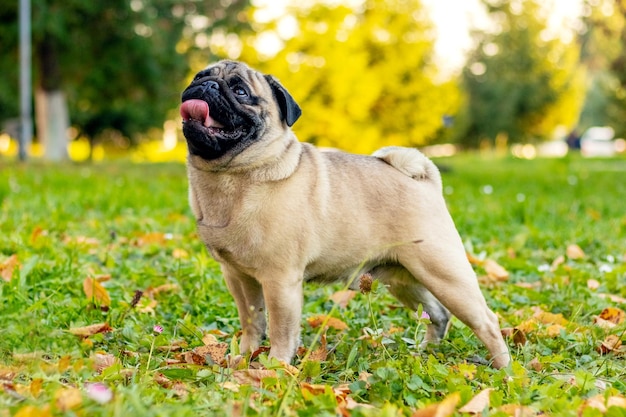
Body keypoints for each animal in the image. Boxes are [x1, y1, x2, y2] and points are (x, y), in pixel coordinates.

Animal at [178, 59, 510, 368]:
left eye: (240, 91)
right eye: (198, 77)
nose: (207, 86)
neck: (232, 176)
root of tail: (424, 180)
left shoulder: (280, 280)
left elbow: (281, 330)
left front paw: (275, 367)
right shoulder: (237, 275)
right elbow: (252, 321)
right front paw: (244, 357)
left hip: (444, 273)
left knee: (486, 321)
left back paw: (503, 369)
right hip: (403, 278)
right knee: (437, 314)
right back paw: (426, 351)